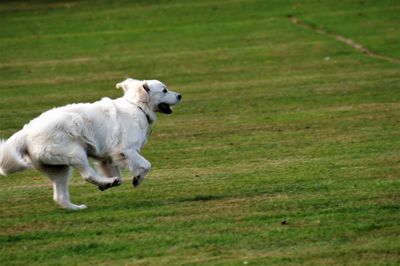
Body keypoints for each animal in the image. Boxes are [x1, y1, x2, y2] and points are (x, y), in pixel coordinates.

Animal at [0, 78, 181, 211]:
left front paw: (115, 182)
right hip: (75, 153)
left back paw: (79, 205)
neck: (137, 106)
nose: (180, 95)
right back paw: (106, 182)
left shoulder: (108, 157)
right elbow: (147, 165)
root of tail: (26, 131)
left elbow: (120, 178)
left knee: (60, 197)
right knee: (87, 175)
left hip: (60, 169)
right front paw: (137, 178)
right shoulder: (127, 150)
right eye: (164, 90)